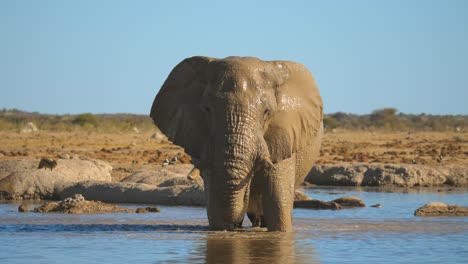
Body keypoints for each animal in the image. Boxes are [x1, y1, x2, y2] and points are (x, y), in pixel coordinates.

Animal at [150, 56, 322, 231]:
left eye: (267, 112)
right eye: (207, 109)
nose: (234, 225)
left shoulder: (284, 134)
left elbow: (277, 203)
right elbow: (214, 201)